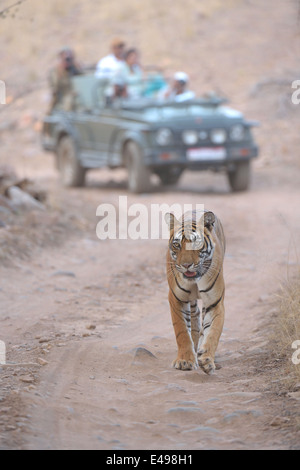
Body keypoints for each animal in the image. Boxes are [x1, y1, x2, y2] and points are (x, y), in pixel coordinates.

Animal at [165, 209, 226, 374]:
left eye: (196, 243)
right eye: (177, 245)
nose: (186, 265)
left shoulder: (215, 302)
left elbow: (213, 332)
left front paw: (206, 360)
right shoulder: (176, 299)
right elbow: (181, 331)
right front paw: (185, 361)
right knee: (194, 316)